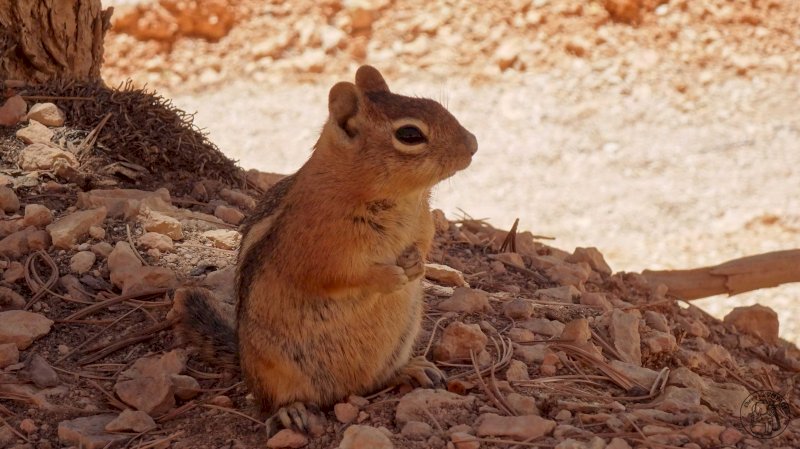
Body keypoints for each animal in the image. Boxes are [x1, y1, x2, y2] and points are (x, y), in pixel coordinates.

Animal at [175, 65, 476, 432]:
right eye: (410, 135)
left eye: (435, 104)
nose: (473, 144)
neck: (400, 199)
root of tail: (344, 392)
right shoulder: (317, 251)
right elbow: (338, 276)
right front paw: (390, 276)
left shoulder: (423, 224)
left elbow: (423, 245)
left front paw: (414, 264)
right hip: (272, 370)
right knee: (270, 401)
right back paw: (291, 411)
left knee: (378, 380)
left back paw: (412, 369)